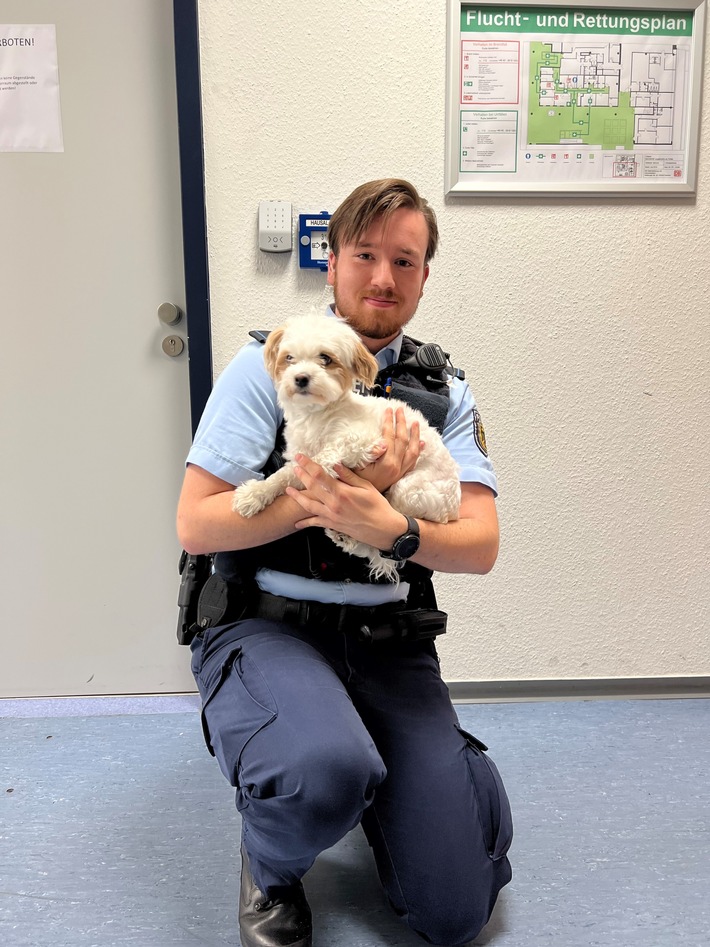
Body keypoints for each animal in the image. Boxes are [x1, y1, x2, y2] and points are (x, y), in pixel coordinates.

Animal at [235, 314, 462, 580]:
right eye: (289, 358)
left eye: (325, 358)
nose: (300, 378)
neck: (317, 415)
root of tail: (452, 511)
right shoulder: (299, 456)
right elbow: (281, 477)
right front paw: (254, 494)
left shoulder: (363, 441)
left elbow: (319, 461)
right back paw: (344, 537)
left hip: (408, 491)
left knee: (381, 540)